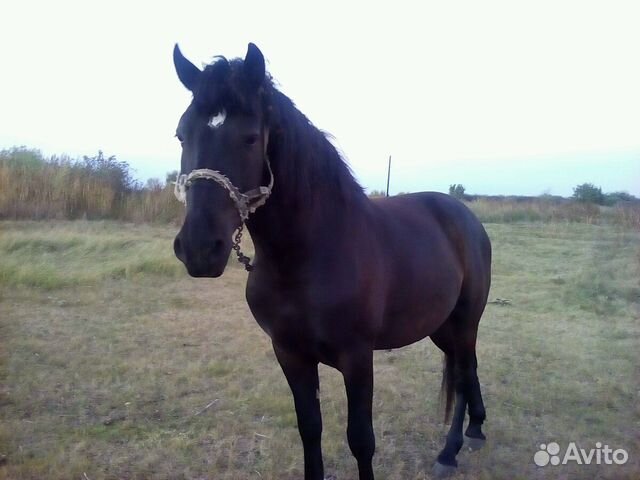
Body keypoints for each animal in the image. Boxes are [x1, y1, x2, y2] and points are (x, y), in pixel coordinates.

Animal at [170, 43, 490, 478]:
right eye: (181, 134)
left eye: (251, 138)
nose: (200, 248)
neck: (307, 257)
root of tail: (466, 218)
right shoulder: (290, 354)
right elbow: (310, 429)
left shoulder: (357, 358)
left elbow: (361, 440)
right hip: (440, 325)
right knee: (464, 369)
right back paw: (475, 429)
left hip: (465, 320)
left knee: (463, 372)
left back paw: (450, 450)